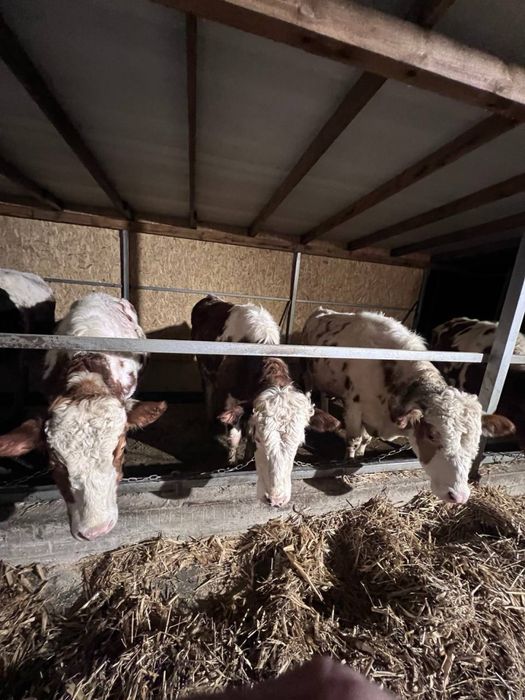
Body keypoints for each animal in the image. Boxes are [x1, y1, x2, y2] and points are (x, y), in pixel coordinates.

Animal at [191, 295, 340, 507]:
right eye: (261, 438)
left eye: (299, 444)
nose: (276, 499)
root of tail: (211, 298)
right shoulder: (230, 398)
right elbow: (234, 437)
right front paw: (231, 462)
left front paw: (247, 459)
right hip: (203, 366)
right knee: (208, 389)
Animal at [302, 308, 514, 504]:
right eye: (431, 435)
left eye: (477, 439)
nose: (459, 495)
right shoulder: (354, 406)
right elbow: (354, 439)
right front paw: (350, 462)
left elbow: (365, 439)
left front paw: (361, 455)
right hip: (310, 373)